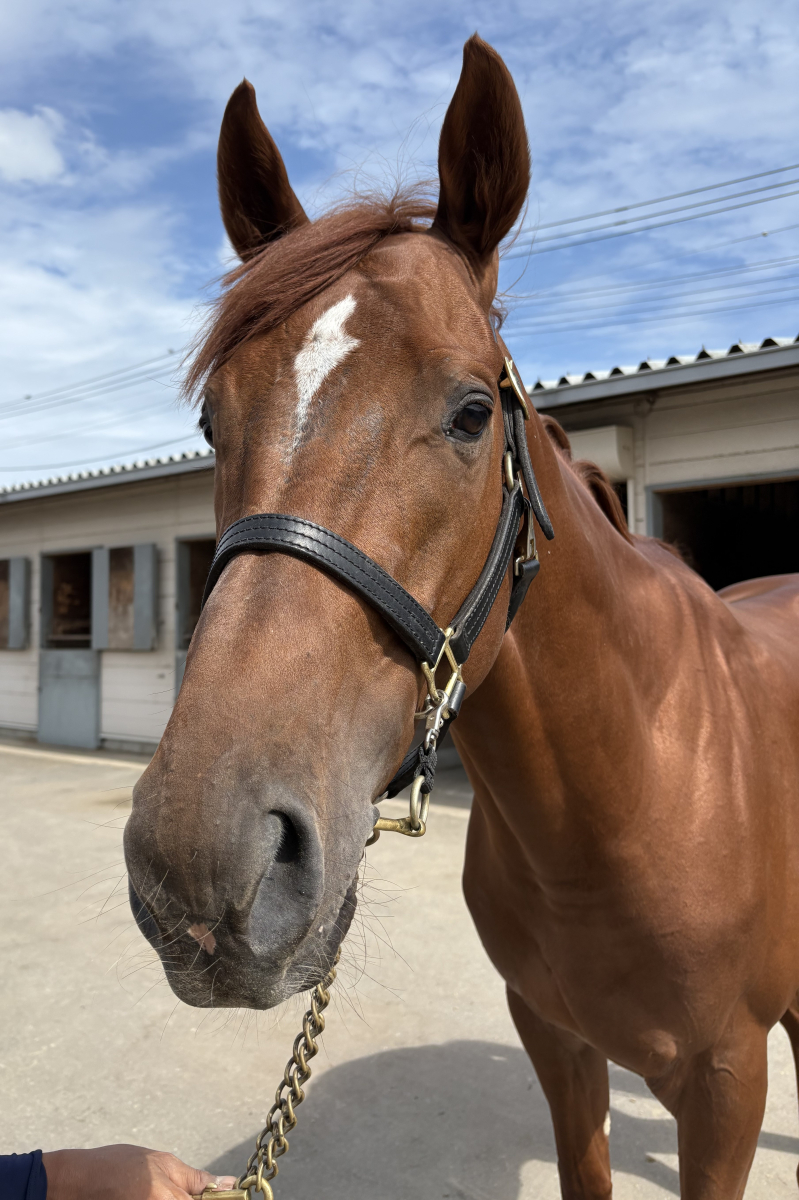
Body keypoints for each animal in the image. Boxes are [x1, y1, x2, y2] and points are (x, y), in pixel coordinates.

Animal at [124, 35, 799, 1199]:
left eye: (473, 413)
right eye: (213, 420)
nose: (201, 868)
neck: (628, 789)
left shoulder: (726, 1091)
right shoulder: (556, 1044)